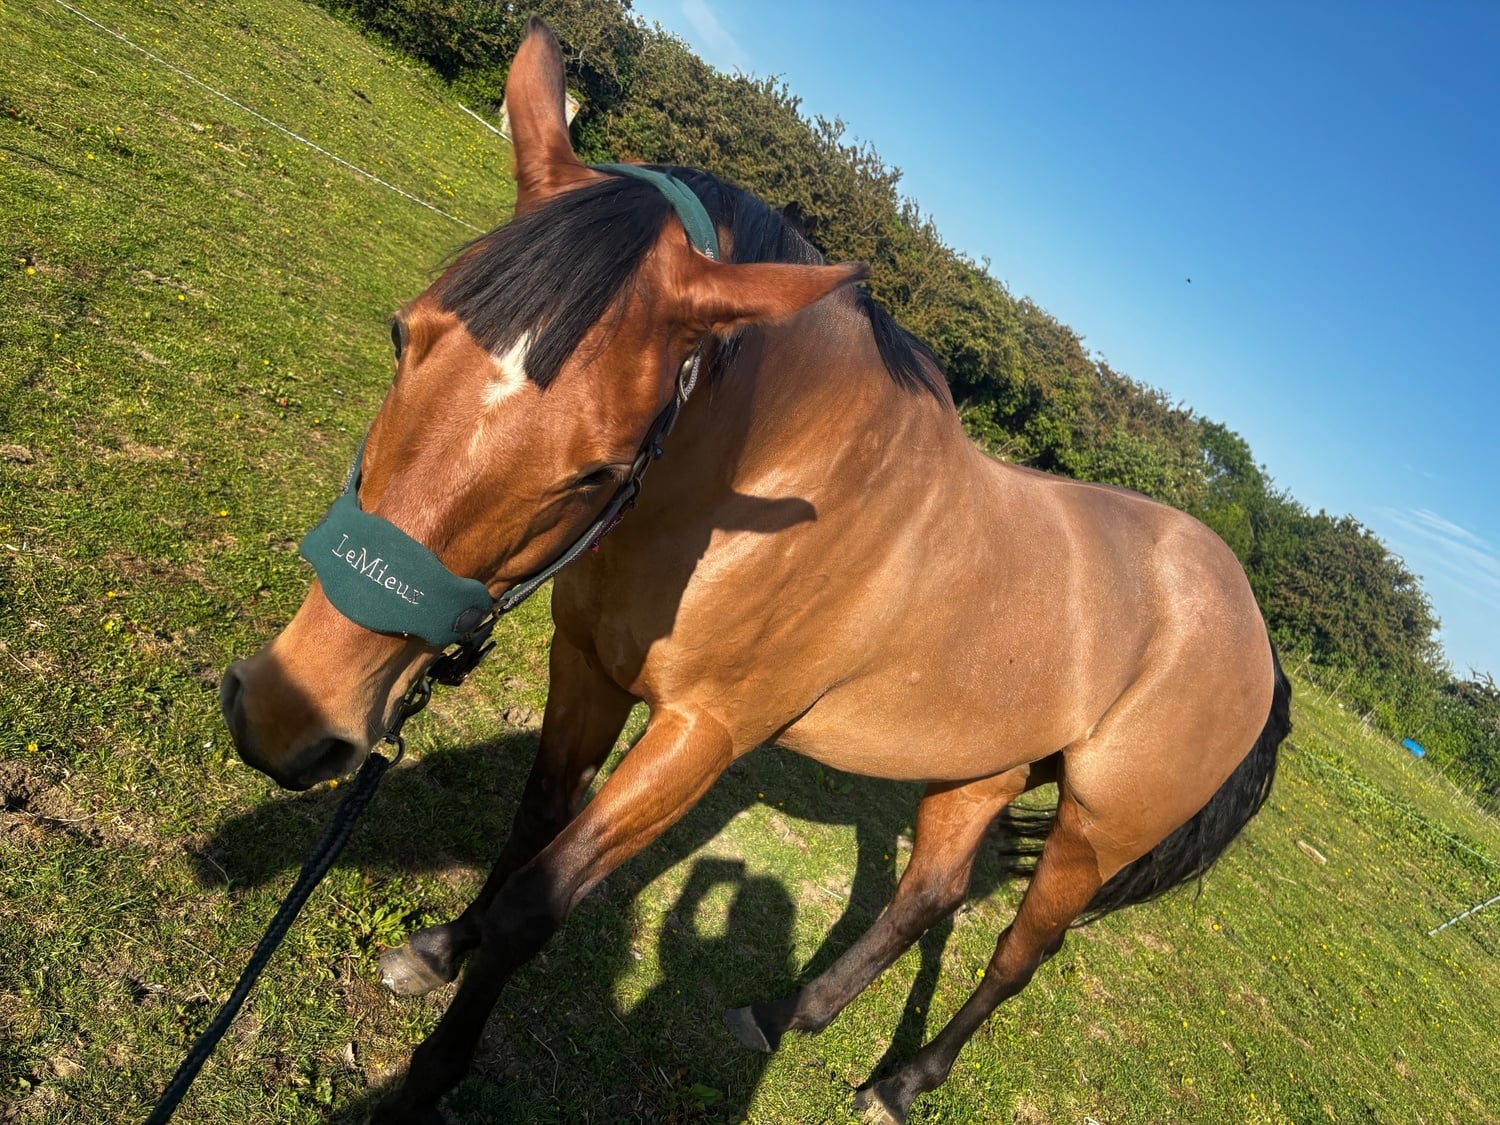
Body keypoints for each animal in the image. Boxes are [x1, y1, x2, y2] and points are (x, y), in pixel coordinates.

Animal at [218, 19, 1290, 1124]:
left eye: (598, 467)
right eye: (404, 333)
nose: (288, 715)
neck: (763, 485)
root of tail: (1253, 635)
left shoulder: (702, 737)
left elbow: (540, 902)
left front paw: (426, 1078)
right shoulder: (588, 666)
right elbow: (532, 827)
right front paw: (439, 948)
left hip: (1093, 833)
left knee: (1017, 951)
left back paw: (902, 1080)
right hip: (980, 767)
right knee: (926, 897)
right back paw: (784, 1016)